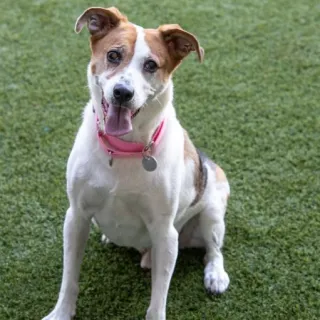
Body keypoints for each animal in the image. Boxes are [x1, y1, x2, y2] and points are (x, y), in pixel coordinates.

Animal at [43, 7, 230, 320]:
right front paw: (61, 313)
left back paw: (215, 275)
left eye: (151, 65)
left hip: (213, 210)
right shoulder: (76, 216)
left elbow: (158, 301)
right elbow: (69, 278)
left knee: (213, 250)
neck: (122, 150)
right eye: (113, 55)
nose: (122, 93)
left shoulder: (164, 232)